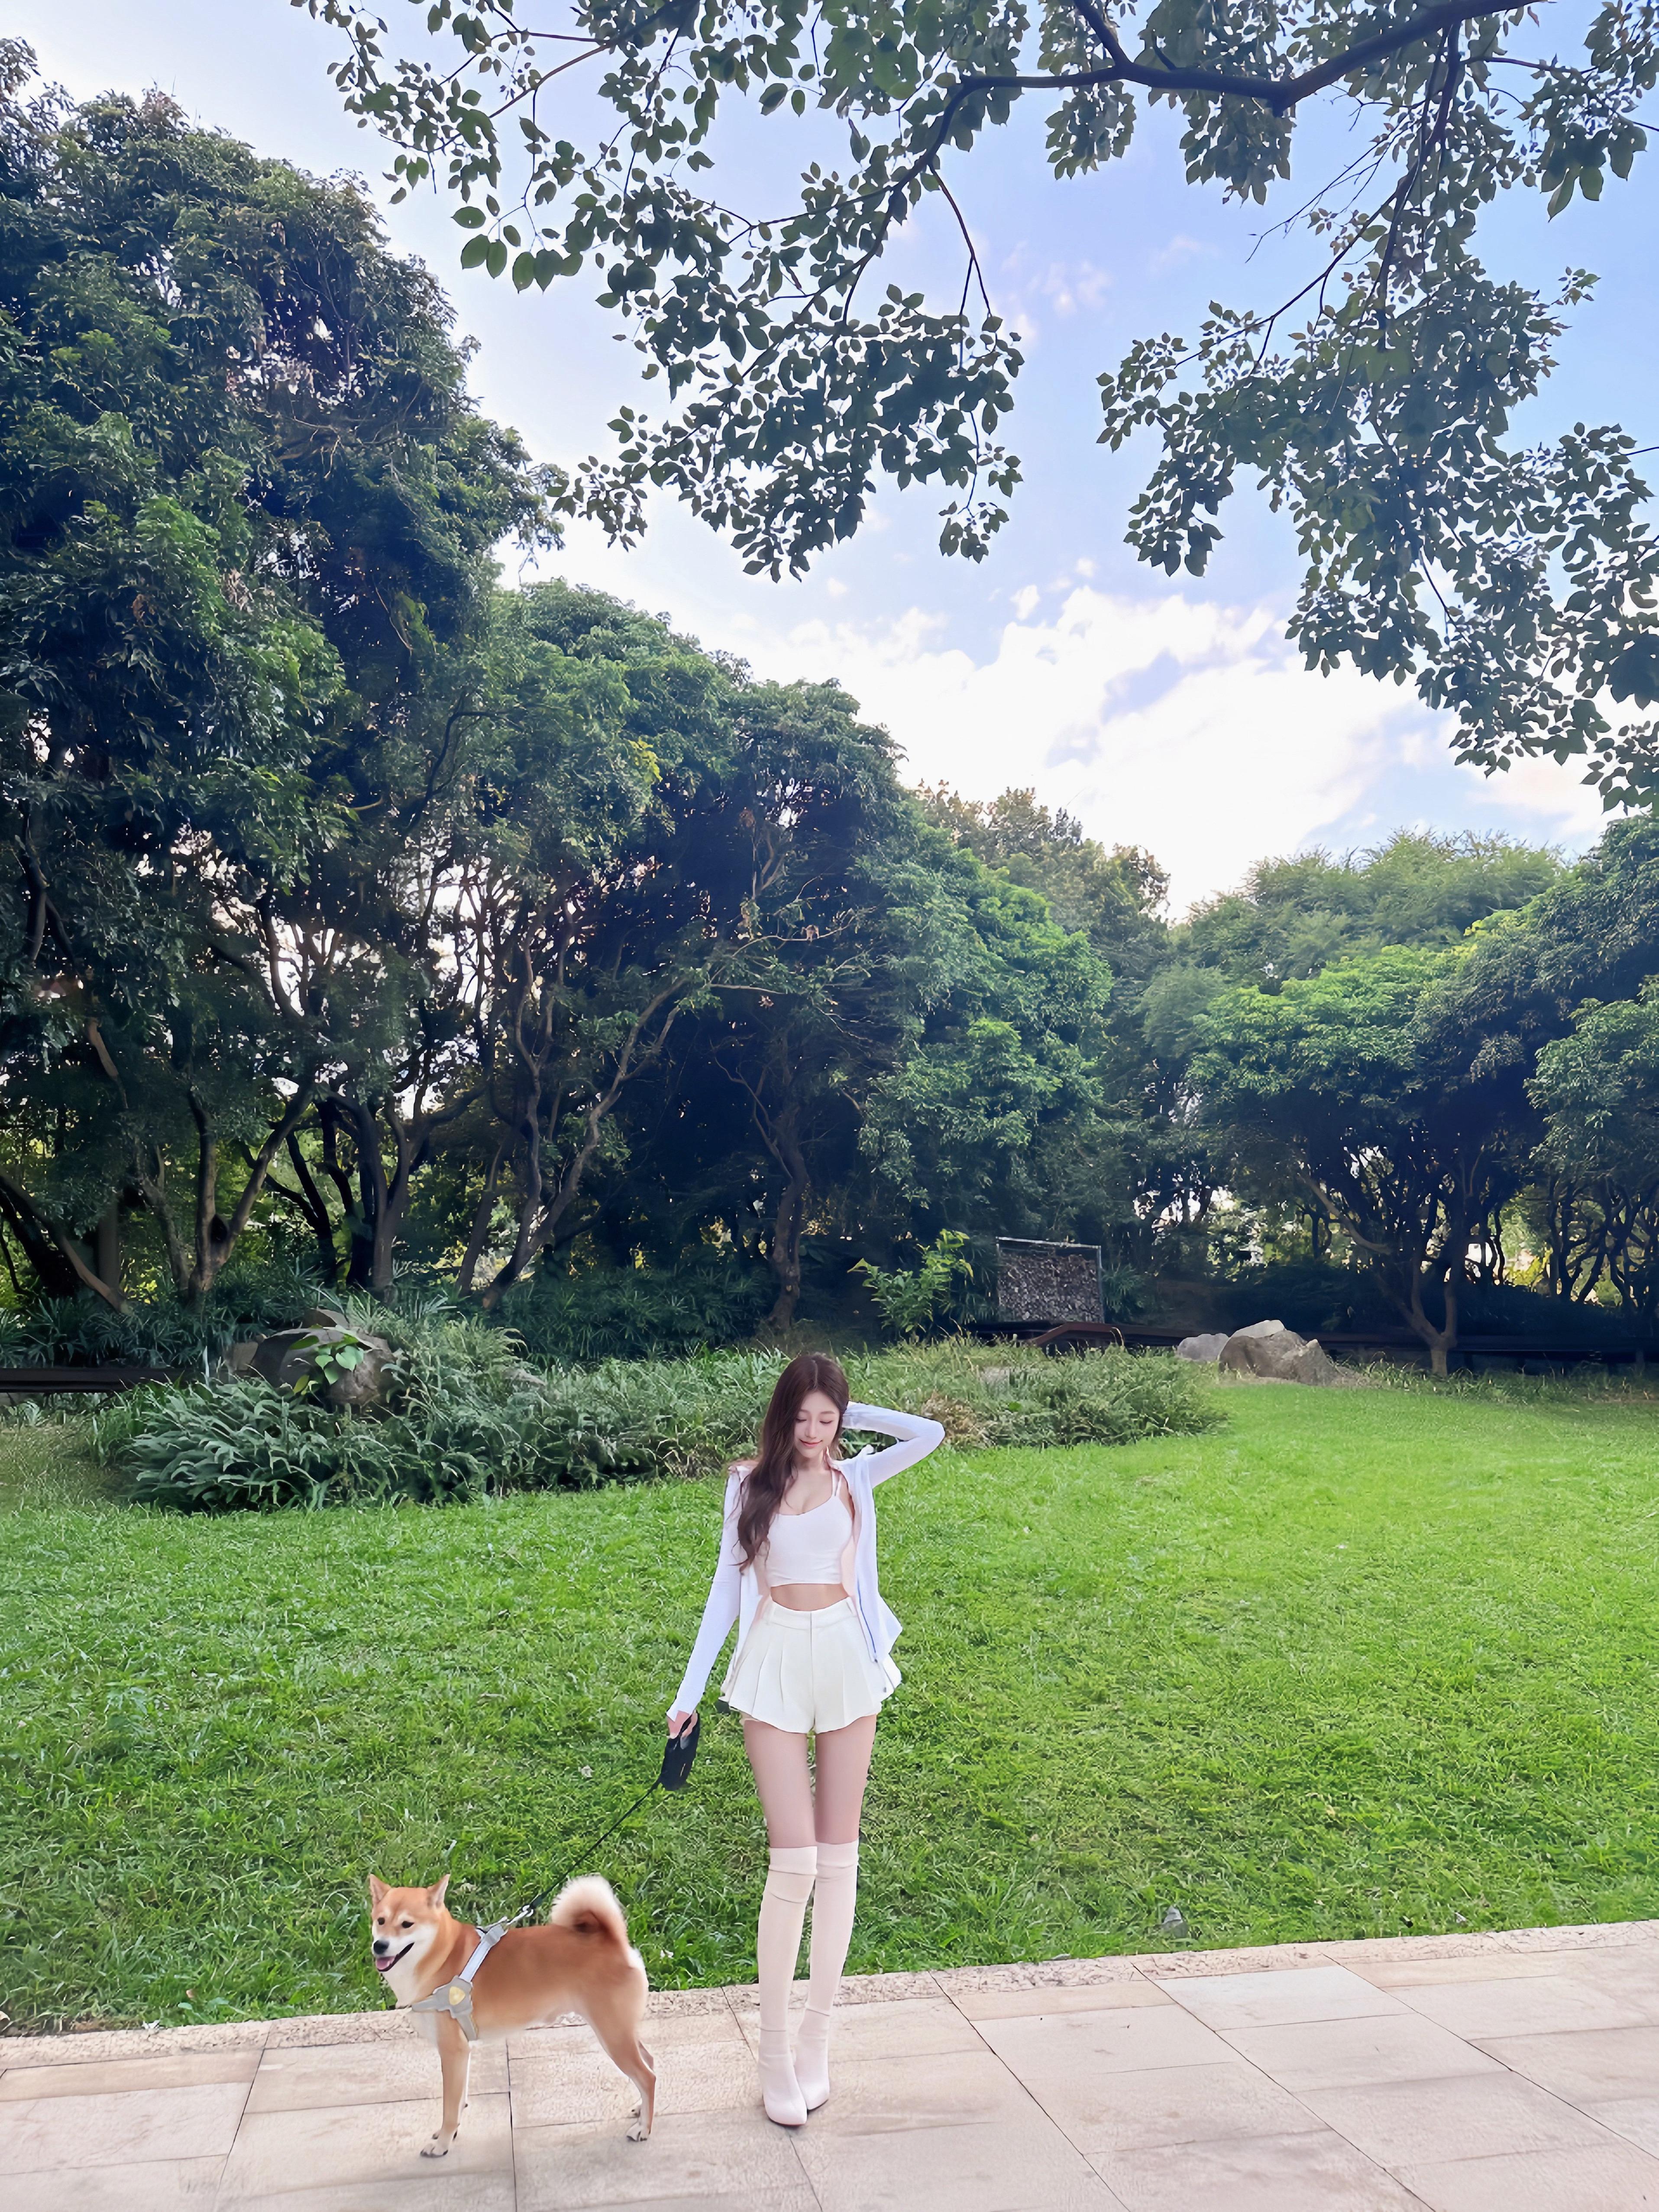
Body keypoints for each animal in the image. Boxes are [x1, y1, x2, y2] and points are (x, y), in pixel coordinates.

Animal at [368, 1872, 655, 2158]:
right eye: (381, 1921)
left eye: (407, 1924)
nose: (380, 1945)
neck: (441, 1956)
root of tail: (613, 1941)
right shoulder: (462, 2052)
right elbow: (459, 2100)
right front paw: (450, 2133)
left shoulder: (452, 2050)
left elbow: (450, 2105)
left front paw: (443, 2143)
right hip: (620, 2031)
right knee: (649, 2061)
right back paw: (642, 2111)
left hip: (613, 2036)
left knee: (647, 2077)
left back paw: (644, 2128)